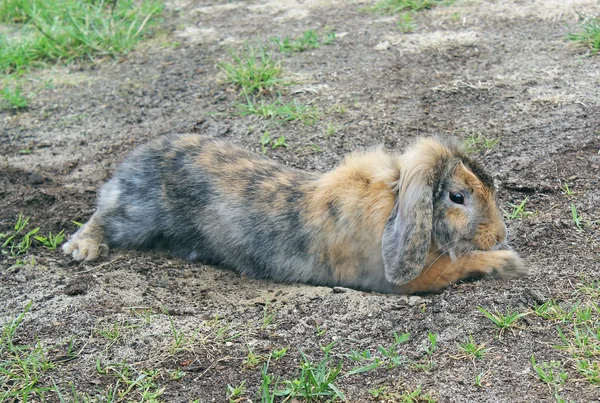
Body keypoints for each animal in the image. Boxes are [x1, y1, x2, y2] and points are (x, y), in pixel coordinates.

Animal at [63, 134, 528, 296]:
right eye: (457, 196)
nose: (499, 235)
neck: (395, 201)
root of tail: (136, 158)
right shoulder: (409, 280)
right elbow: (460, 265)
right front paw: (510, 263)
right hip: (136, 214)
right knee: (104, 215)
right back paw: (82, 249)